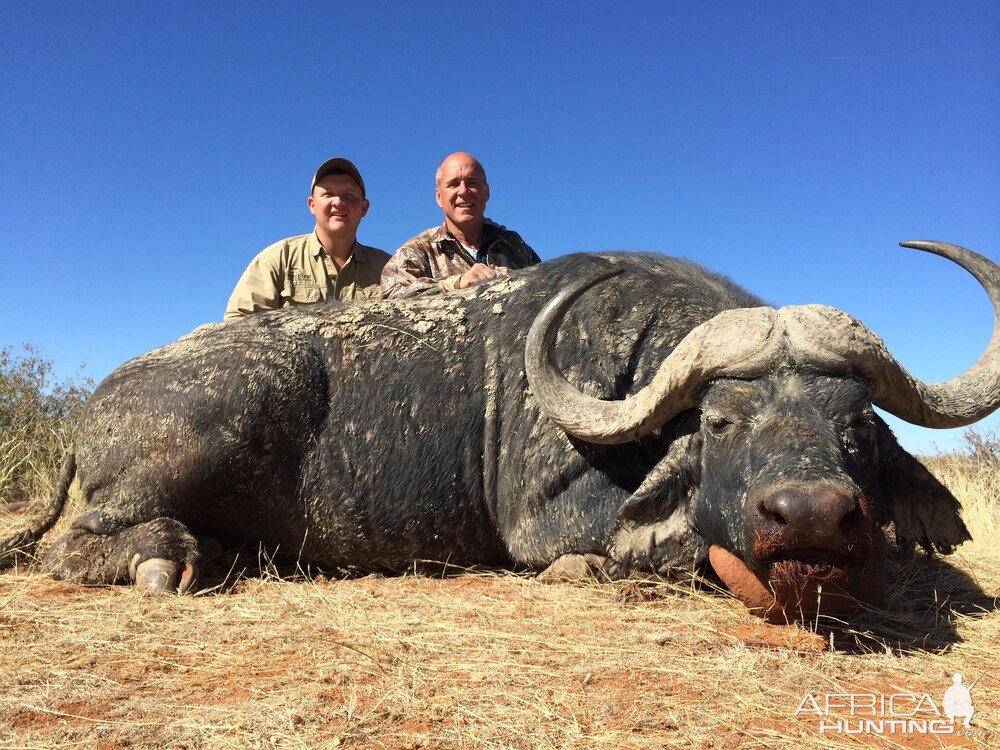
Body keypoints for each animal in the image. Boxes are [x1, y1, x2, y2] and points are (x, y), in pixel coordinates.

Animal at [1, 241, 1000, 624]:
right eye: (720, 421)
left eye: (858, 426)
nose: (812, 518)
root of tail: (97, 404)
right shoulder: (546, 524)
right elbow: (647, 553)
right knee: (78, 546)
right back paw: (165, 558)